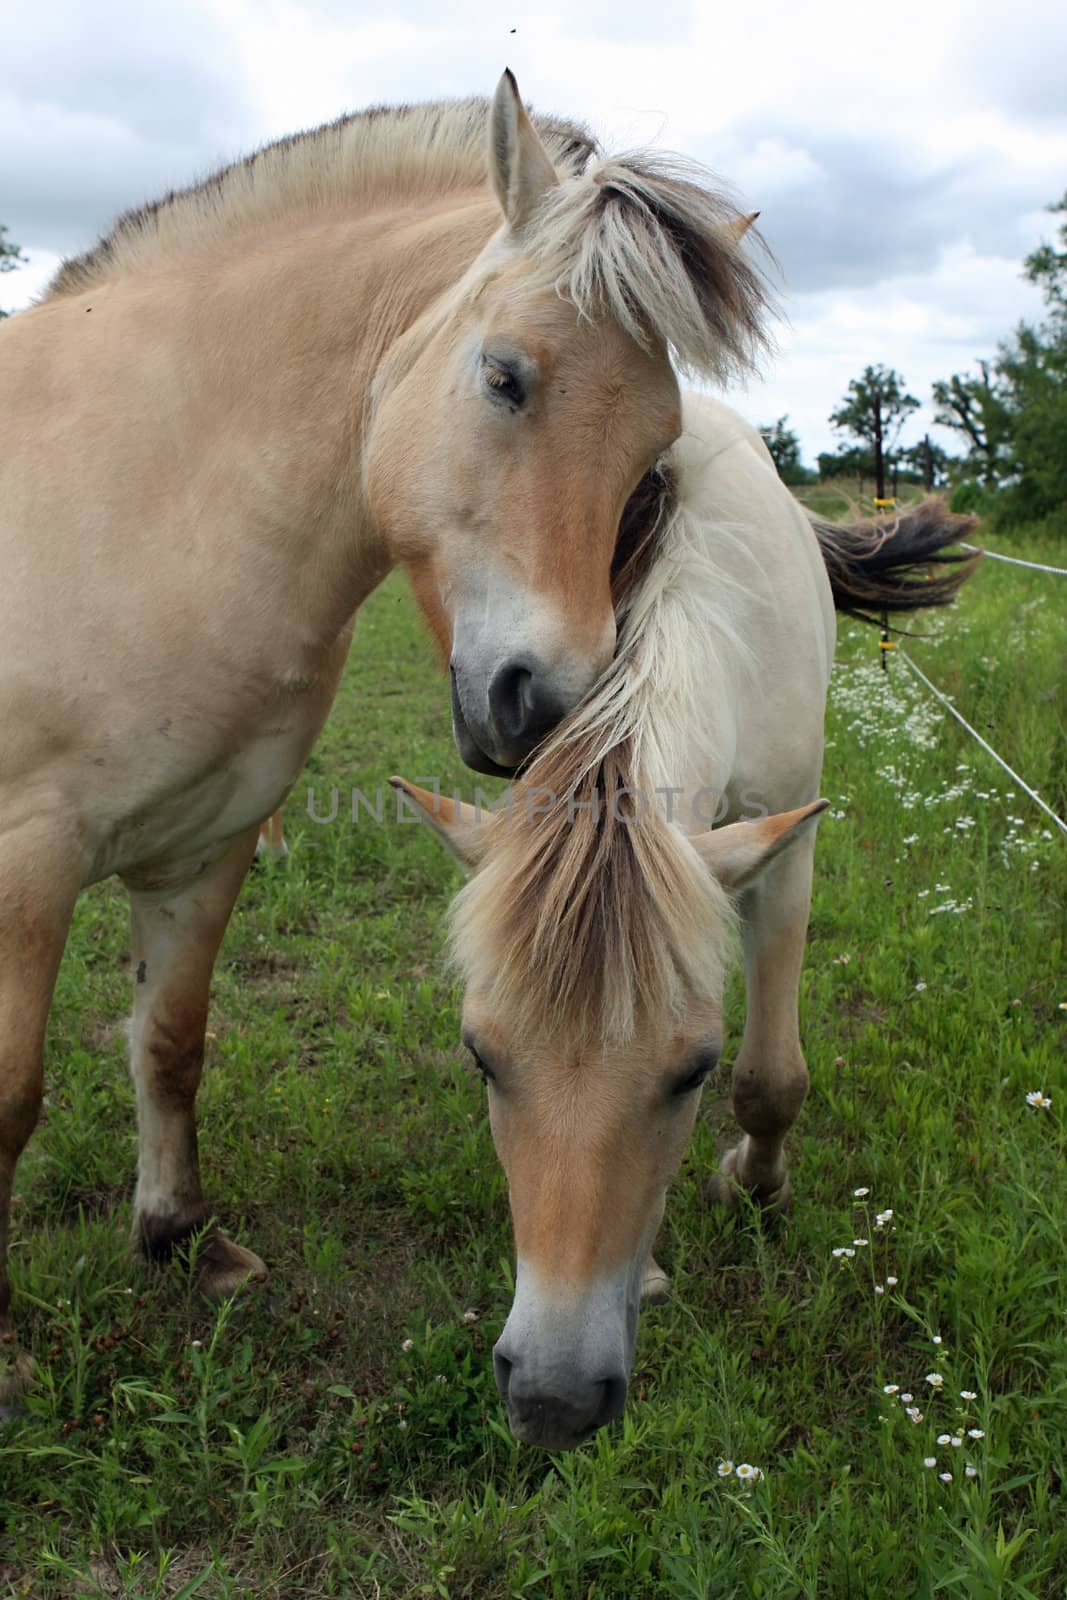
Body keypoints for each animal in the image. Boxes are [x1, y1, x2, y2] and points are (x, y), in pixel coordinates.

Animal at [0, 75, 777, 1401]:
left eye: (652, 448)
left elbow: (169, 1040)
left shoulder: (205, 847)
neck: (136, 485)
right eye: (506, 377)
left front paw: (179, 1236)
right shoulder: (26, 864)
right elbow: (11, 1097)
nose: (539, 704)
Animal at [396, 387, 979, 1452]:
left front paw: (753, 1185)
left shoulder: (784, 853)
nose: (552, 1398)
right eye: (480, 1059)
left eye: (693, 1071)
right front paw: (655, 1262)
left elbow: (772, 1080)